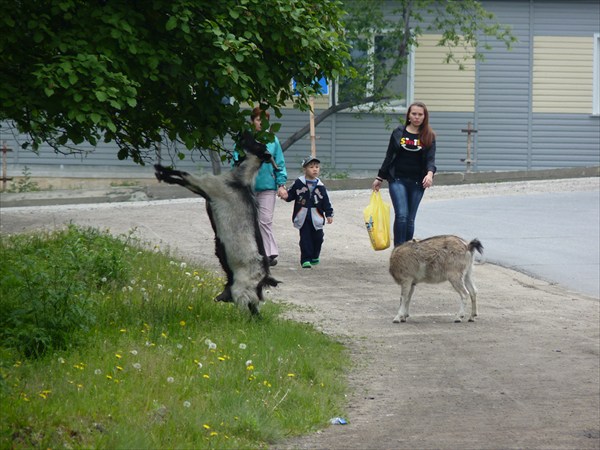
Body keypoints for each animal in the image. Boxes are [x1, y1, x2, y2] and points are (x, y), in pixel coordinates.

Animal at [152, 132, 278, 318]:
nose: (243, 133)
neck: (238, 180)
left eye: (256, 144)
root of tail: (263, 278)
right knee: (254, 311)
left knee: (246, 312)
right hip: (245, 293)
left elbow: (183, 175)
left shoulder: (207, 185)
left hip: (242, 290)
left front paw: (161, 171)